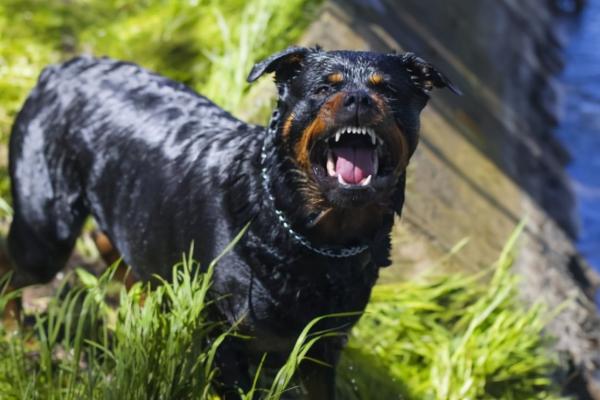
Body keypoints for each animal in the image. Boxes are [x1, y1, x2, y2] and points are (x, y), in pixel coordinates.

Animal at [2, 46, 458, 396]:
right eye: (324, 87)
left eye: (389, 91)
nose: (360, 100)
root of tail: (60, 69)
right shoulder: (226, 344)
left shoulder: (321, 350)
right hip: (47, 229)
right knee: (15, 269)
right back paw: (16, 331)